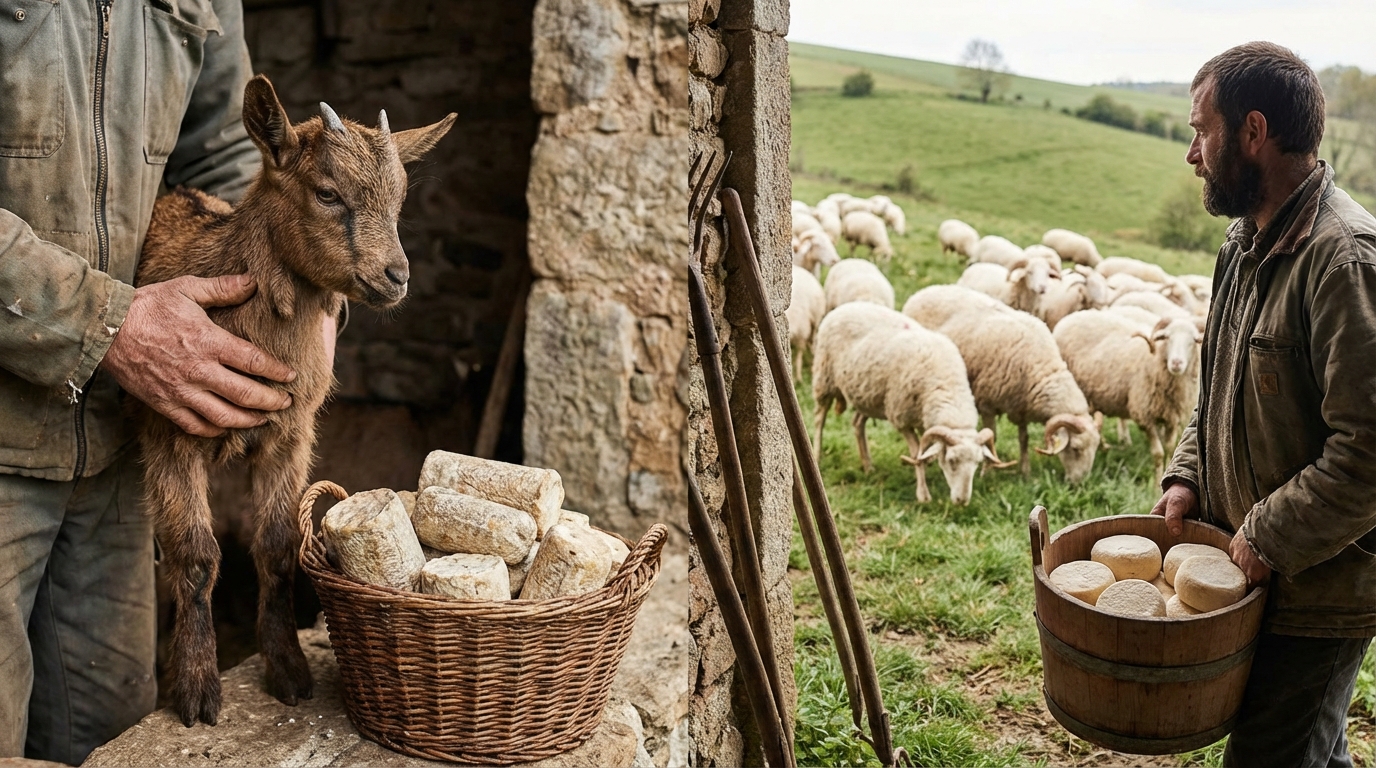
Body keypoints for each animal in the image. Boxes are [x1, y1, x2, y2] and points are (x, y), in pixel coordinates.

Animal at [133, 75, 454, 726]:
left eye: (400, 200)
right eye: (328, 193)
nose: (397, 276)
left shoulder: (290, 434)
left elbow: (279, 548)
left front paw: (288, 670)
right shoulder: (170, 429)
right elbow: (196, 556)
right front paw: (197, 691)